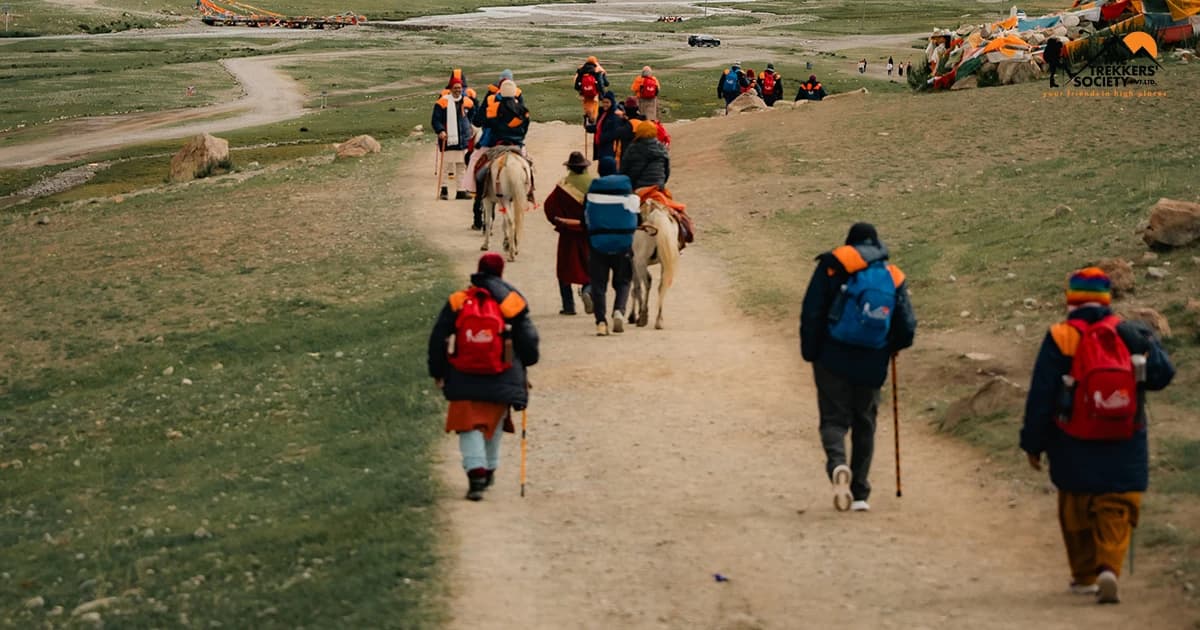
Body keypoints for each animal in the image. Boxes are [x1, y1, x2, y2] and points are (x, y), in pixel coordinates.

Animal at [633, 199, 681, 328]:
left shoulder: (633, 261)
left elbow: (636, 287)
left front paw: (633, 316)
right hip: (665, 262)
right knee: (662, 285)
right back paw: (659, 320)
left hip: (641, 261)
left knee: (647, 282)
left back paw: (643, 316)